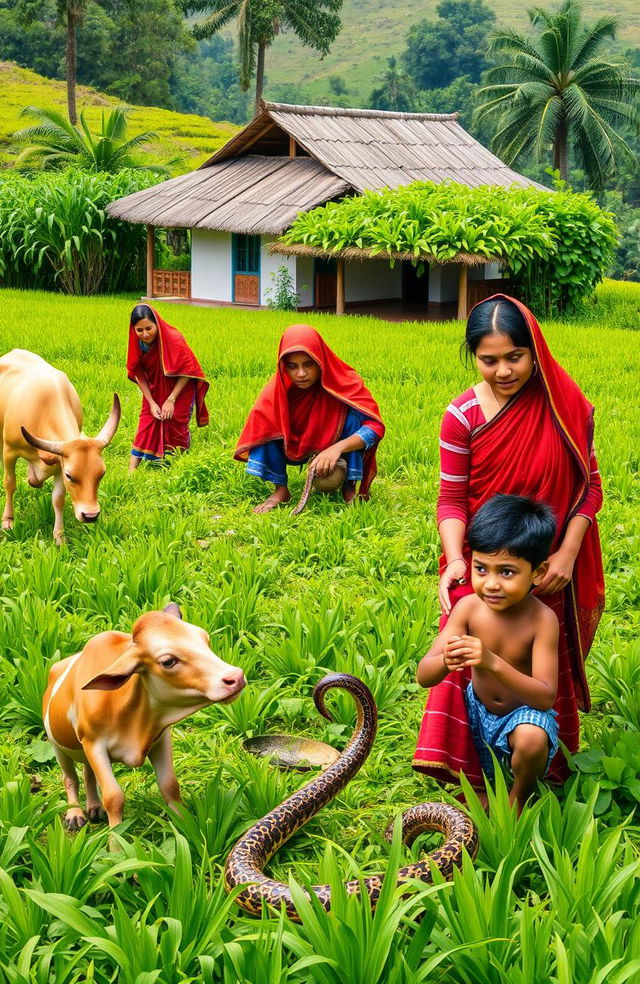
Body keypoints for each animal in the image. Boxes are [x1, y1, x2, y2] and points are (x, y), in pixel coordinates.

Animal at [0, 350, 120, 540]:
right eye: (70, 476)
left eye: (102, 474)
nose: (90, 515)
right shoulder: (10, 452)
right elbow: (10, 483)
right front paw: (8, 520)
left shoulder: (59, 463)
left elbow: (58, 499)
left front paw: (59, 536)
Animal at [42, 604, 246, 828]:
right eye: (168, 661)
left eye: (205, 638)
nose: (235, 677)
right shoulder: (95, 744)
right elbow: (113, 797)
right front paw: (116, 836)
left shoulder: (161, 738)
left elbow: (169, 785)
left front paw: (182, 826)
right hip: (58, 746)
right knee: (70, 779)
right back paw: (74, 813)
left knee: (88, 774)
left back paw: (94, 807)